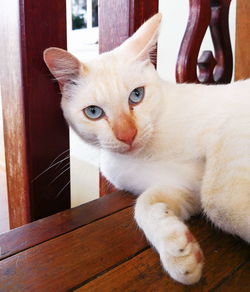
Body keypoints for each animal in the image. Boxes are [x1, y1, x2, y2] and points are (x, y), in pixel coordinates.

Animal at [43, 13, 250, 286]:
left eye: (136, 96)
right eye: (94, 112)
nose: (127, 135)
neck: (148, 152)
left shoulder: (233, 130)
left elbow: (219, 202)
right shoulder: (183, 187)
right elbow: (145, 204)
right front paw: (180, 253)